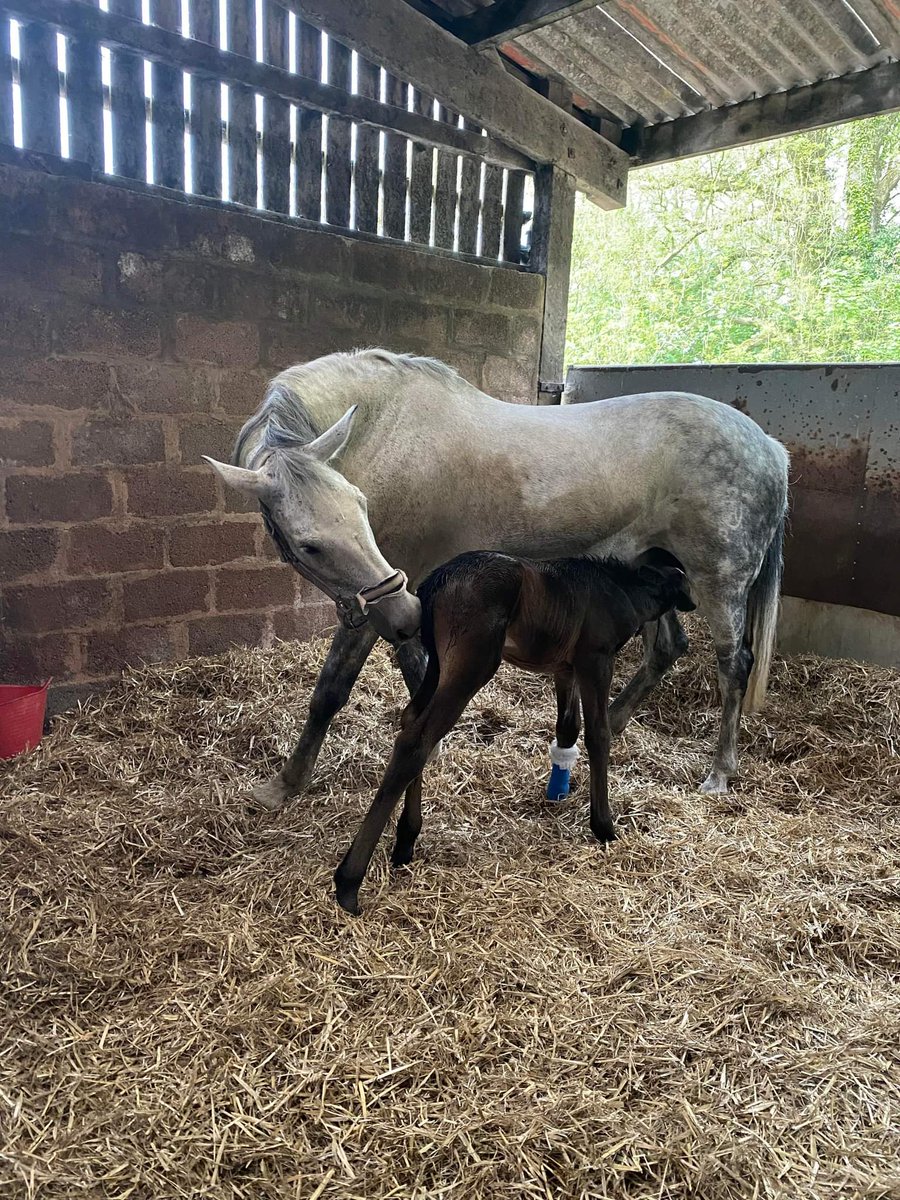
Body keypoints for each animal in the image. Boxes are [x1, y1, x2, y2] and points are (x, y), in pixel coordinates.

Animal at [203, 348, 789, 801]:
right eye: (310, 543)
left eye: (361, 506)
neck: (385, 430)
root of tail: (772, 449)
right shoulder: (400, 598)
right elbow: (419, 670)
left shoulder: (384, 598)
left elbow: (332, 688)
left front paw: (285, 784)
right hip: (651, 573)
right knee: (668, 648)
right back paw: (613, 725)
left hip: (719, 582)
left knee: (733, 665)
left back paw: (719, 774)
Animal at [333, 552, 697, 914]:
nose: (691, 604)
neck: (623, 589)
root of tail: (438, 580)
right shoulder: (595, 659)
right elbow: (598, 733)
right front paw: (604, 825)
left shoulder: (565, 669)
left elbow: (568, 726)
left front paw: (559, 792)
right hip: (473, 661)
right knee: (417, 740)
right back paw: (349, 881)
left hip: (439, 663)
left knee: (411, 719)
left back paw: (406, 839)